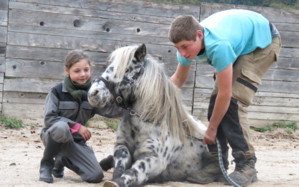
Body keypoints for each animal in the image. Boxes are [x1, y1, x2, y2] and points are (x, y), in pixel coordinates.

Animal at [88, 44, 218, 187]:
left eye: (127, 70)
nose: (93, 93)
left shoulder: (153, 159)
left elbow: (134, 171)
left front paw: (119, 181)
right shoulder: (122, 146)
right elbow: (120, 164)